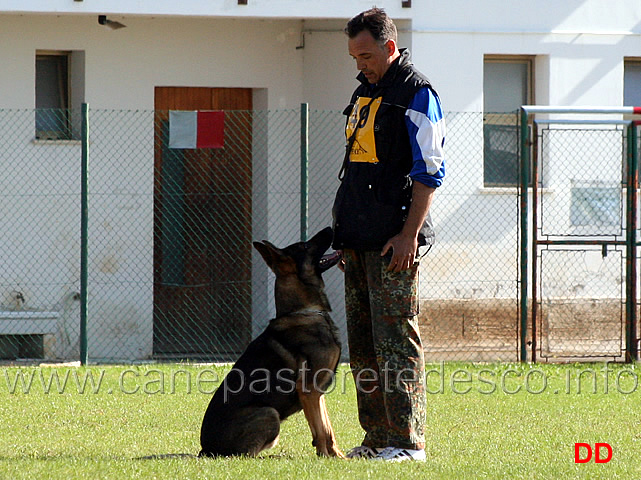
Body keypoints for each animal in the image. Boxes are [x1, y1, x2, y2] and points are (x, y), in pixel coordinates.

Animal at [200, 227, 344, 460]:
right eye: (304, 246)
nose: (331, 228)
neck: (305, 311)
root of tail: (205, 450)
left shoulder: (317, 393)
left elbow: (325, 427)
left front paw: (337, 455)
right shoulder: (309, 389)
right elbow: (322, 431)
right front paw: (326, 456)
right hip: (269, 412)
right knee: (244, 455)